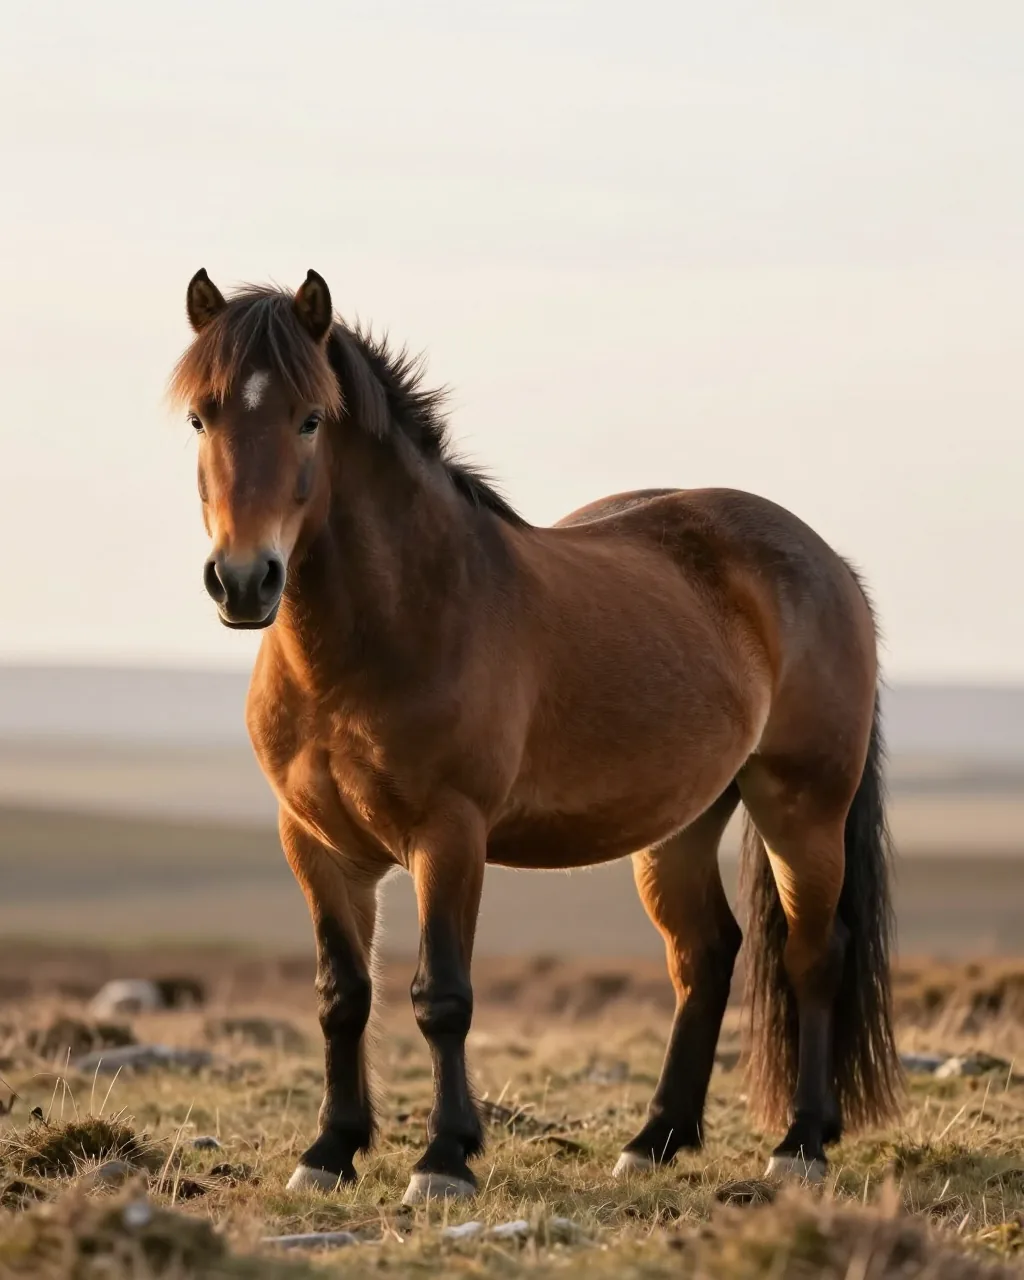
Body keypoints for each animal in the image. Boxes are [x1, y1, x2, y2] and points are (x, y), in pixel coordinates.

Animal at [168, 267, 901, 1204]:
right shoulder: (315, 844)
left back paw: (802, 1142)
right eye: (203, 417)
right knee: (705, 955)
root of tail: (829, 563)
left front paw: (444, 1159)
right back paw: (656, 1139)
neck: (387, 629)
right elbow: (343, 995)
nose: (243, 581)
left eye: (309, 418)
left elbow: (441, 996)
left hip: (800, 807)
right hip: (681, 823)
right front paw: (330, 1151)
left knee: (813, 954)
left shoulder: (449, 836)